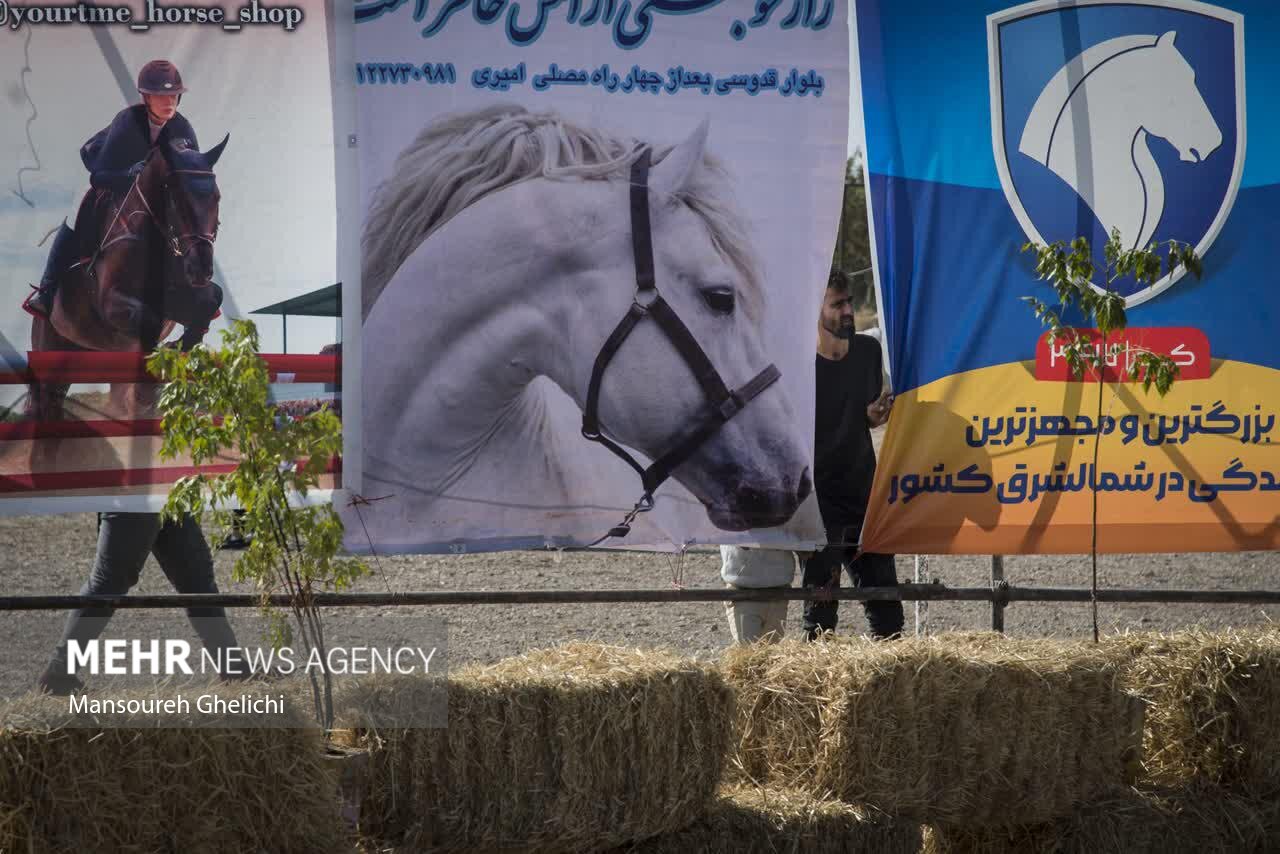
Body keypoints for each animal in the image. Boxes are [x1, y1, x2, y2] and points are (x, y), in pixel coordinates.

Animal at [26, 134, 229, 425]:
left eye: (216, 197)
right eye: (176, 198)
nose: (201, 268)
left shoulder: (177, 298)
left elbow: (211, 299)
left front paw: (176, 347)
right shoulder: (111, 304)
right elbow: (148, 320)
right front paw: (156, 368)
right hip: (50, 347)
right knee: (45, 399)